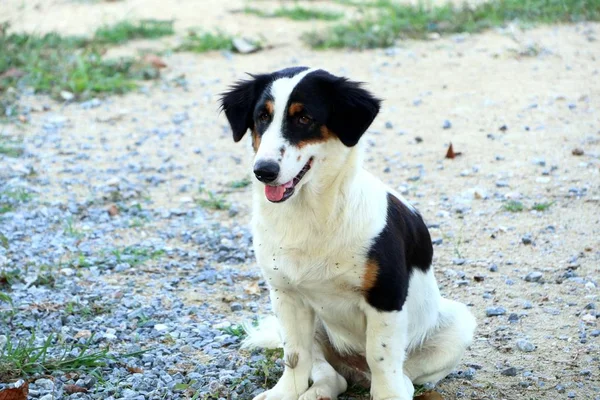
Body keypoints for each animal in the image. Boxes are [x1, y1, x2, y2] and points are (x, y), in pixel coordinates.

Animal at [218, 67, 476, 398]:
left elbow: (381, 358)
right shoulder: (285, 295)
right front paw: (284, 393)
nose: (263, 171)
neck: (311, 217)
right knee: (328, 372)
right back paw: (318, 391)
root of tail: (355, 371)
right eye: (262, 116)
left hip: (457, 324)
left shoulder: (386, 297)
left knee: (400, 375)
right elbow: (295, 355)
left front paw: (388, 396)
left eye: (304, 118)